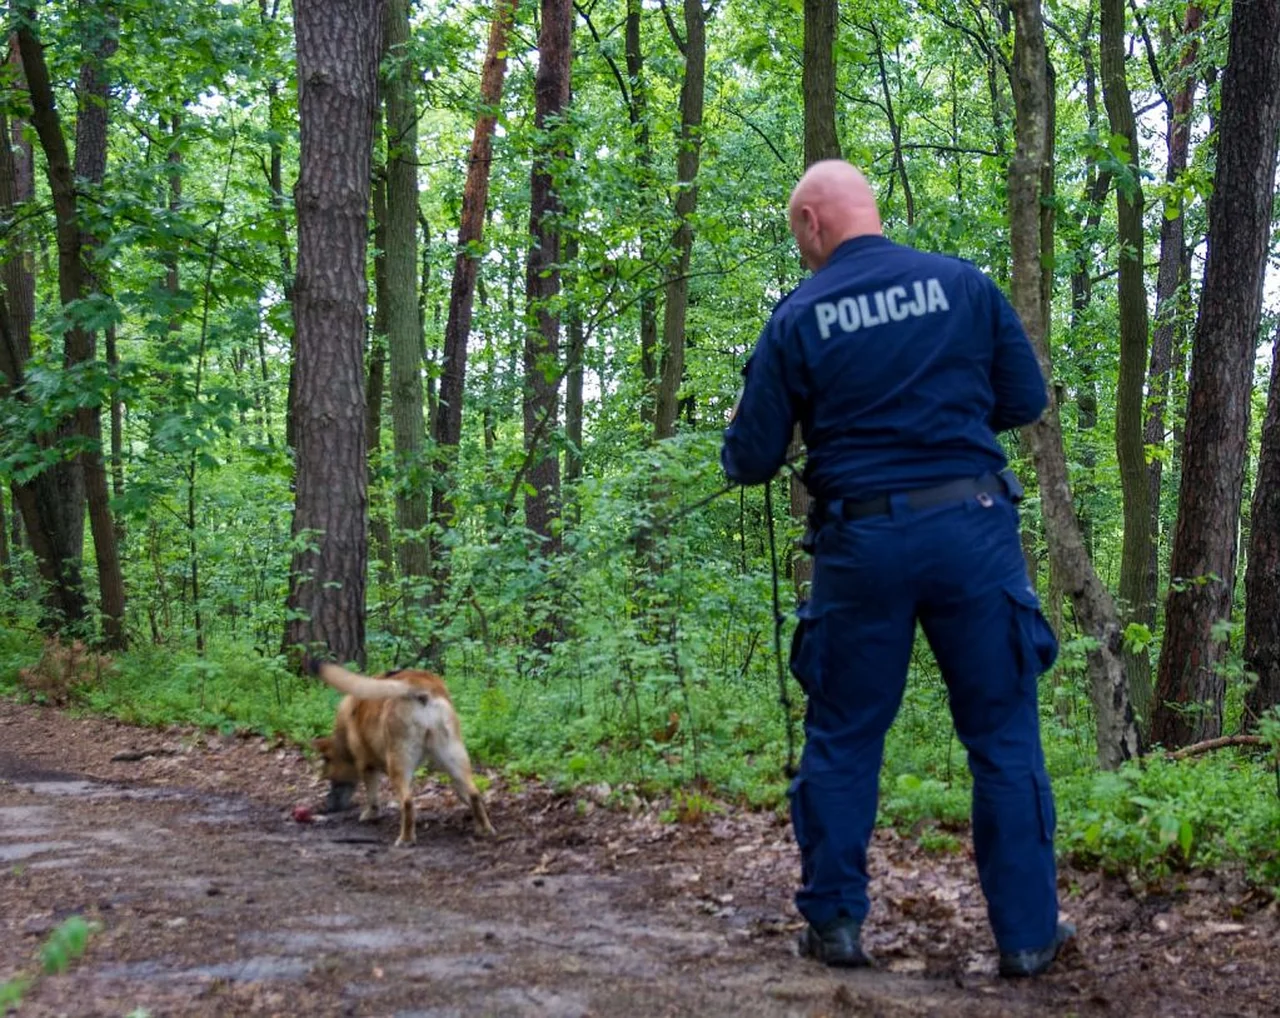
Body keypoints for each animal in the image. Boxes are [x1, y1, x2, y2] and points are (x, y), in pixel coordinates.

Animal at [304, 660, 494, 845]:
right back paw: (484, 828)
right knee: (474, 794)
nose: (327, 808)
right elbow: (465, 793)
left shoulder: (366, 766)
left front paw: (370, 814)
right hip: (454, 757)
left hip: (398, 764)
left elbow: (372, 798)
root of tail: (418, 685)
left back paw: (406, 839)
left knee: (407, 802)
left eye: (330, 779)